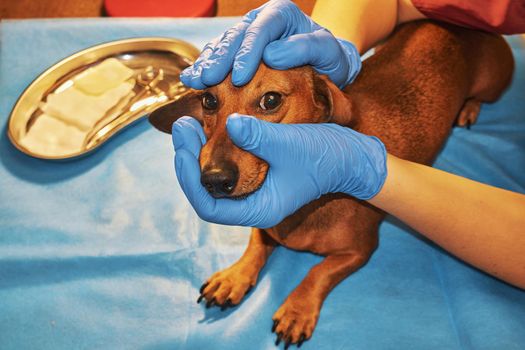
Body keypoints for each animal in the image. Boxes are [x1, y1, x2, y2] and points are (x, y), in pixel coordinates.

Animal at [147, 21, 512, 348]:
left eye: (270, 100)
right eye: (208, 101)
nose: (214, 179)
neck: (305, 208)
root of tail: (463, 26)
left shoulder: (360, 250)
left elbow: (318, 272)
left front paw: (297, 310)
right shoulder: (267, 223)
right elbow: (258, 241)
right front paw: (234, 276)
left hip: (492, 85)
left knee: (481, 97)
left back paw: (469, 108)